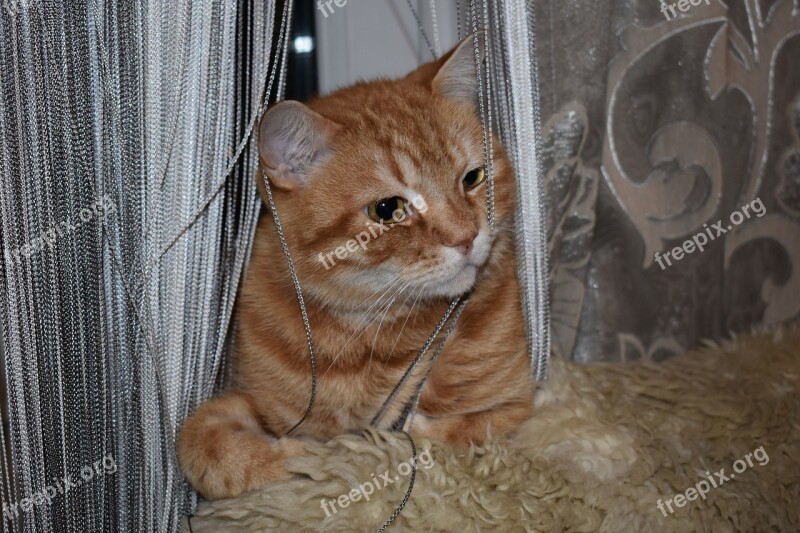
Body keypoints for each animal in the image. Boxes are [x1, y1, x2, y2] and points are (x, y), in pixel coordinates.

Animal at [178, 35, 536, 500]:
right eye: (388, 209)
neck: (366, 336)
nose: (466, 236)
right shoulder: (250, 403)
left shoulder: (512, 407)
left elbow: (437, 433)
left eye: (473, 178)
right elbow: (203, 444)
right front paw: (302, 457)